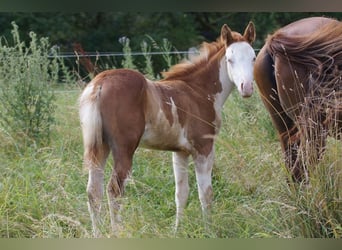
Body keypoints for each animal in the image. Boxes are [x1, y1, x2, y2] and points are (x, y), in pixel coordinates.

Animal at [80, 22, 255, 236]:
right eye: (230, 60)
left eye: (253, 57)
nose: (247, 87)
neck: (199, 92)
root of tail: (100, 83)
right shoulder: (204, 149)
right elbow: (206, 194)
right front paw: (209, 231)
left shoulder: (180, 152)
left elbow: (181, 193)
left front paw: (177, 231)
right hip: (123, 149)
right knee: (114, 190)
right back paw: (117, 232)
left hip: (100, 146)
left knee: (93, 192)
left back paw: (98, 234)